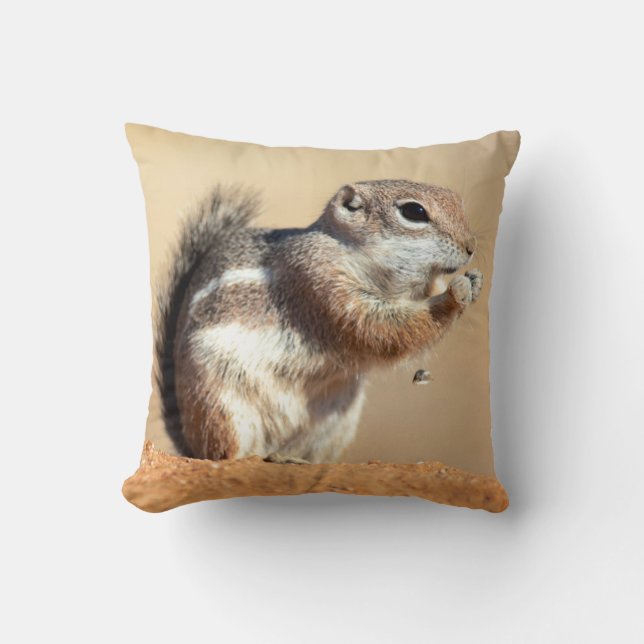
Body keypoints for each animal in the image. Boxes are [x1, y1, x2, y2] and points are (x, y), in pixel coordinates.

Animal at [156, 180, 482, 464]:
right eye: (414, 211)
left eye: (457, 200)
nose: (470, 247)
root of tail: (189, 440)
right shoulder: (317, 280)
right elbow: (379, 328)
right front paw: (455, 294)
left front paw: (474, 283)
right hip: (220, 404)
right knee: (226, 454)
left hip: (336, 422)